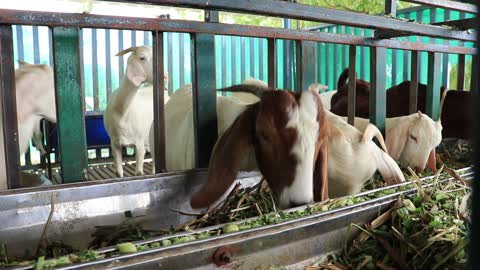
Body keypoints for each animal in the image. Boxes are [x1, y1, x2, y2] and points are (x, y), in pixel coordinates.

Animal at [104, 46, 154, 177]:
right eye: (142, 57)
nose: (164, 76)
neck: (123, 111)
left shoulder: (139, 143)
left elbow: (139, 173)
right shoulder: (114, 143)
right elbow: (118, 173)